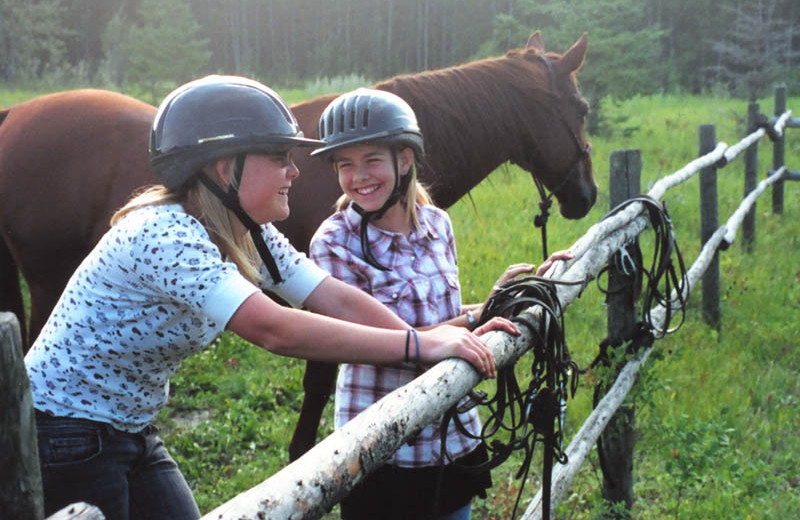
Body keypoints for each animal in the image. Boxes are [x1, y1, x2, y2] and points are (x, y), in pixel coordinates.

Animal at [0, 31, 592, 460]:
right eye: (582, 108)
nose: (585, 196)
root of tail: (17, 115)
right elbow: (319, 385)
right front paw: (304, 457)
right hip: (47, 279)